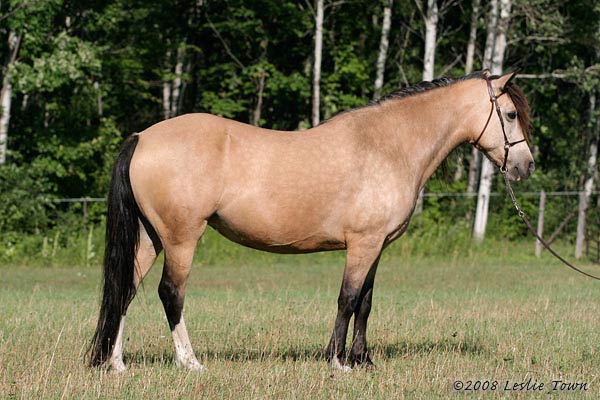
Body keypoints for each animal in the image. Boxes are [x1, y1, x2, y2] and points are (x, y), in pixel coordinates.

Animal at [86, 69, 532, 372]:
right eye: (510, 114)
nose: (525, 166)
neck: (388, 145)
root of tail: (143, 136)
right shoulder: (362, 244)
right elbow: (347, 299)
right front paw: (337, 362)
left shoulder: (376, 246)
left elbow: (366, 302)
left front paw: (363, 360)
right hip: (181, 238)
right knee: (170, 293)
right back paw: (189, 362)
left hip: (150, 237)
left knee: (126, 289)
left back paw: (116, 364)